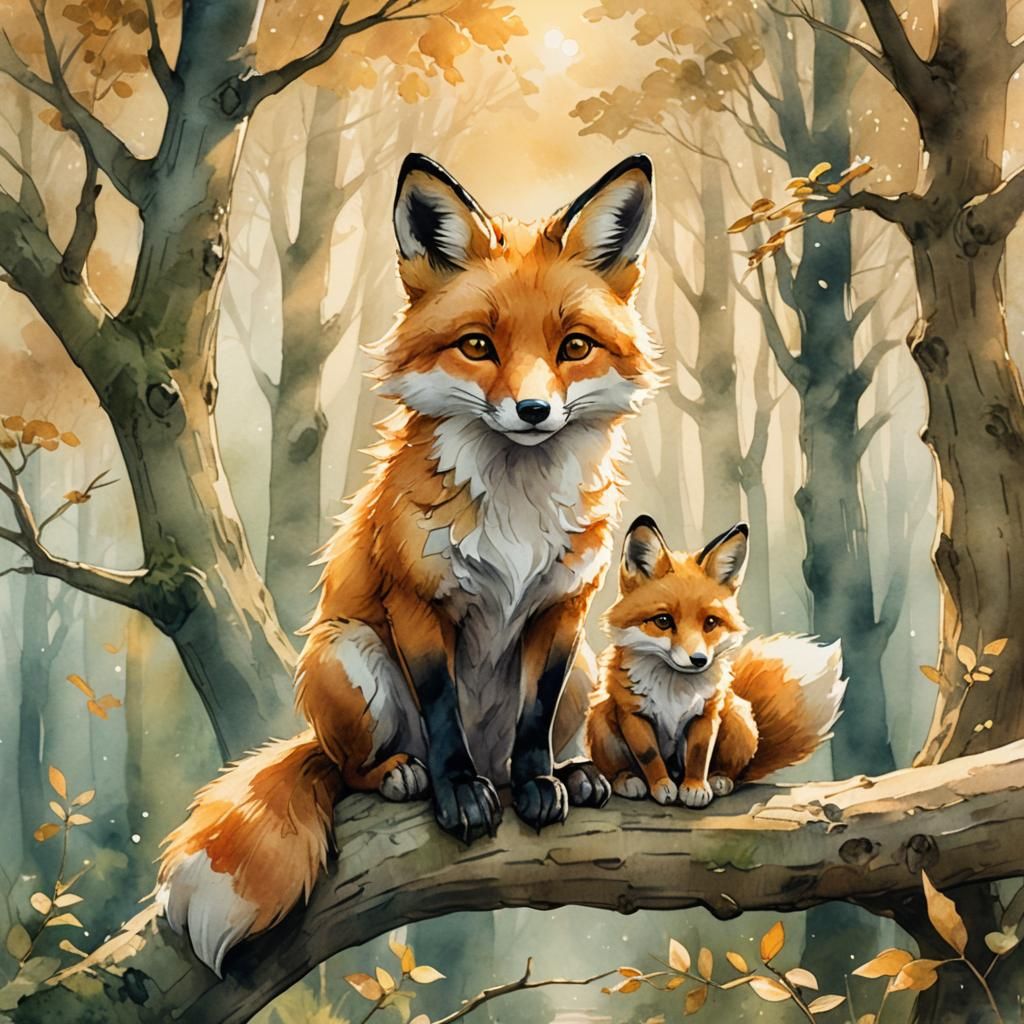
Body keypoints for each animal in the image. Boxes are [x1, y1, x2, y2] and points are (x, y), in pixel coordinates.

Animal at [157, 152, 661, 973]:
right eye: (478, 346)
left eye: (574, 348)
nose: (533, 412)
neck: (515, 511)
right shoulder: (416, 601)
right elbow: (442, 707)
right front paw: (457, 794)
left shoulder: (563, 608)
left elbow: (532, 718)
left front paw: (539, 783)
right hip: (347, 653)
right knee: (349, 770)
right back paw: (400, 775)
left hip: (587, 666)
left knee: (531, 740)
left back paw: (570, 774)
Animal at [586, 516, 846, 807]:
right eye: (663, 621)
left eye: (710, 622)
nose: (699, 660)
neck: (674, 690)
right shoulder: (633, 713)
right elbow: (649, 756)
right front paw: (661, 785)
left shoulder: (707, 713)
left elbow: (699, 755)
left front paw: (695, 788)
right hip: (599, 718)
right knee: (619, 767)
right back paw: (628, 780)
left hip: (737, 716)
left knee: (736, 774)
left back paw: (719, 780)